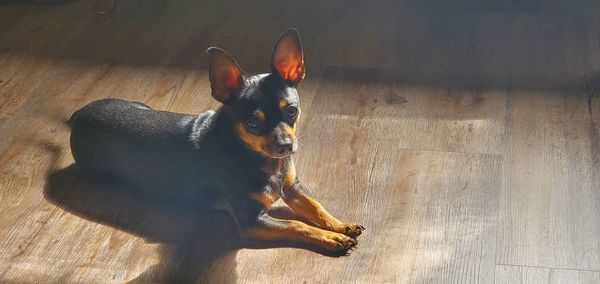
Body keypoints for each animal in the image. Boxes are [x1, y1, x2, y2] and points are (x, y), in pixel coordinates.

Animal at [68, 27, 364, 252]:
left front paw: (341, 225)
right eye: (252, 122)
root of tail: (77, 115)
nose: (286, 147)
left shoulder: (293, 188)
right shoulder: (251, 221)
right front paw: (334, 239)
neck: (258, 158)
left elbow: (317, 208)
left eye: (292, 111)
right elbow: (298, 224)